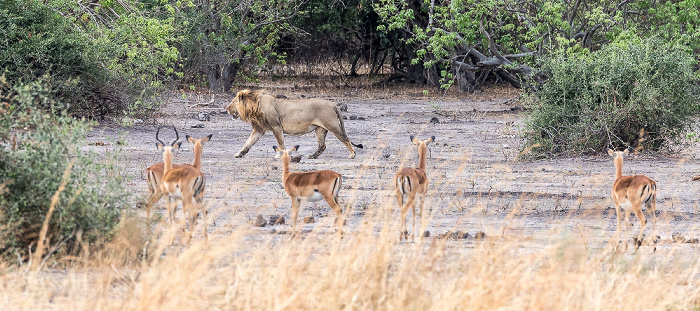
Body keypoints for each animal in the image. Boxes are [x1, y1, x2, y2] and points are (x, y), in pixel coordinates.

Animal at [227, 89, 364, 158]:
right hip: (320, 129)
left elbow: (280, 142)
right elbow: (248, 143)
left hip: (332, 125)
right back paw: (312, 156)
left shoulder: (276, 126)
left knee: (345, 138)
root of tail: (332, 103)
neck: (255, 106)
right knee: (322, 145)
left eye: (233, 101)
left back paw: (352, 154)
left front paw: (280, 156)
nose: (226, 108)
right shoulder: (259, 130)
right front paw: (239, 154)